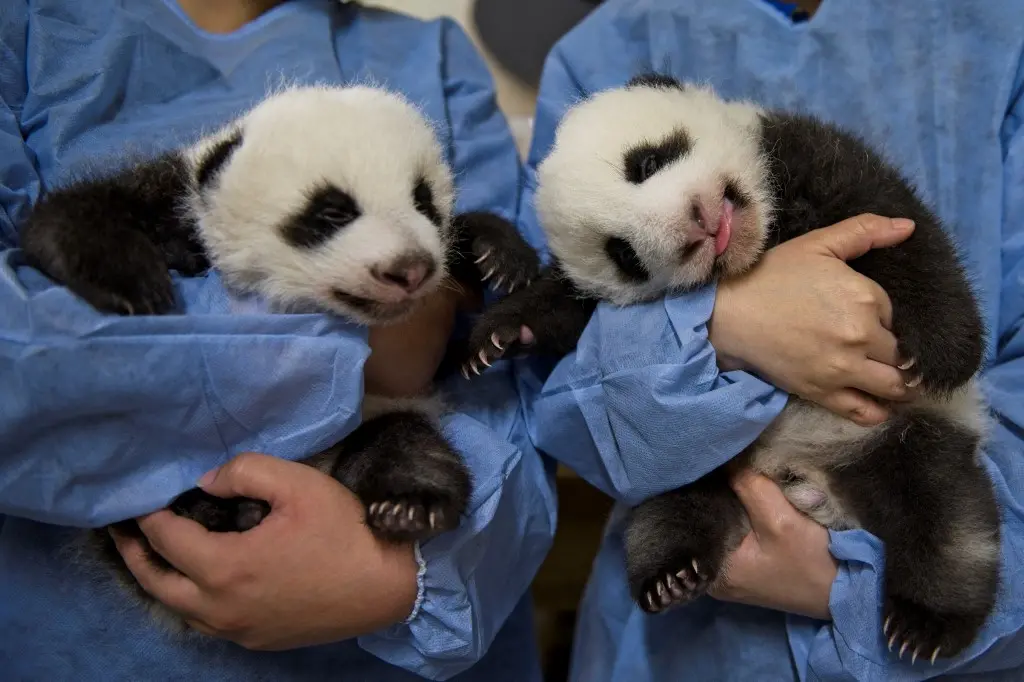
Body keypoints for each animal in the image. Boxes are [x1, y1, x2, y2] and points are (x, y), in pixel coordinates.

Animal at [462, 74, 999, 664]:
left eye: (647, 163)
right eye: (624, 254)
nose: (694, 230)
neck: (760, 241)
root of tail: (815, 489)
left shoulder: (811, 157)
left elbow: (900, 231)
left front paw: (944, 352)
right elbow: (567, 315)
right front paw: (500, 333)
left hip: (905, 431)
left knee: (945, 519)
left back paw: (926, 623)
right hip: (694, 460)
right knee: (673, 506)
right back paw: (670, 572)